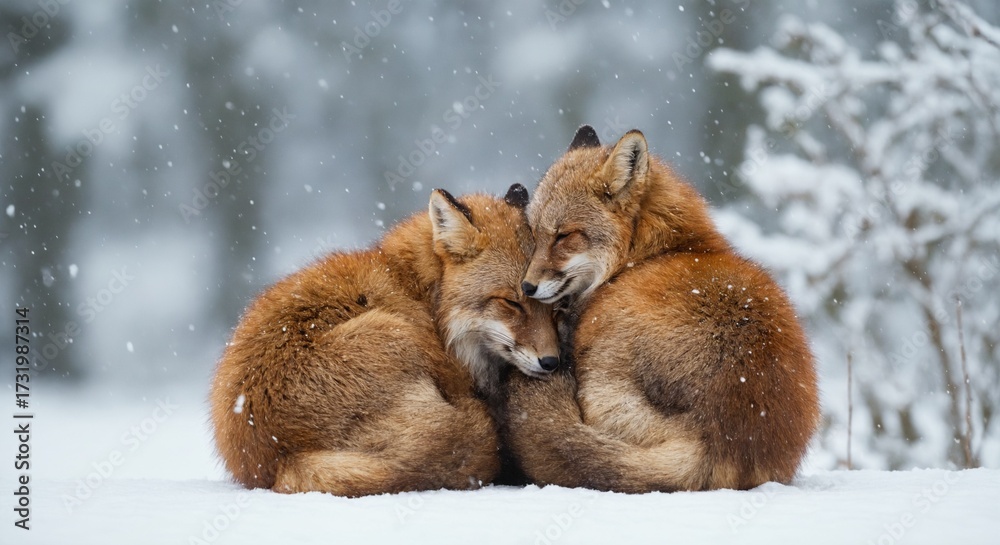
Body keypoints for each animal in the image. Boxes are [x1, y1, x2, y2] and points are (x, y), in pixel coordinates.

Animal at [210, 183, 559, 497]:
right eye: (511, 302)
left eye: (553, 304)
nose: (552, 361)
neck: (422, 295)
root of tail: (278, 459)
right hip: (396, 332)